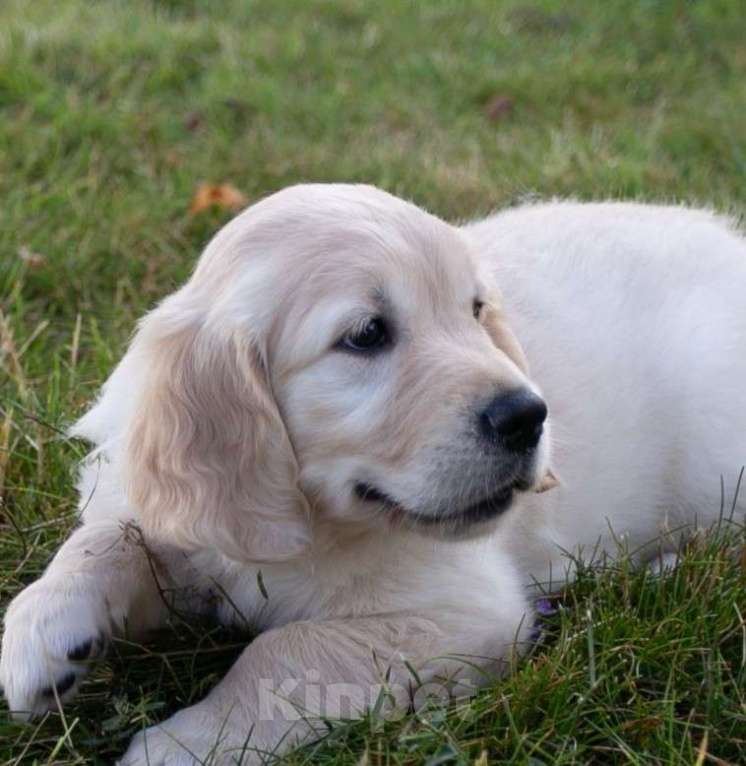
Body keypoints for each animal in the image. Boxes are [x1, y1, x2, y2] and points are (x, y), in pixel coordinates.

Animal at [1, 186, 744, 766]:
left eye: (475, 310)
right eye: (366, 334)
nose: (529, 415)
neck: (313, 523)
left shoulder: (464, 610)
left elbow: (288, 650)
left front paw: (181, 744)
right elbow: (110, 536)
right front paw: (43, 629)